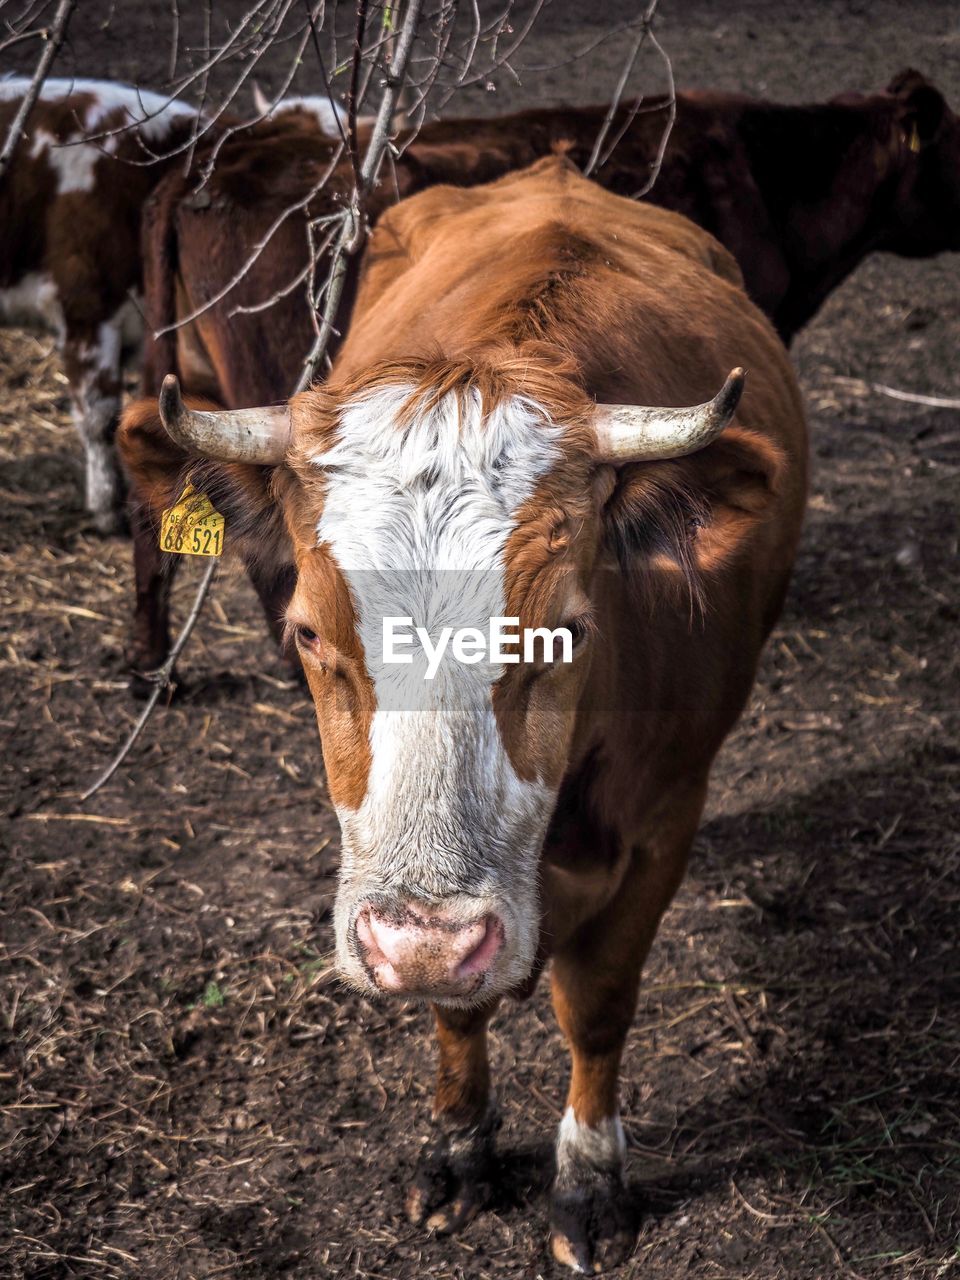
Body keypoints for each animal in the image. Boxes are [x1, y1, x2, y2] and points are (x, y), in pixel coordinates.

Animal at [120, 157, 814, 1269]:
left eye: (568, 630)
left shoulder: (665, 817)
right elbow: (456, 1015)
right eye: (307, 632)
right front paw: (457, 1148)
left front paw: (589, 1182)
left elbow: (597, 1006)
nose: (427, 941)